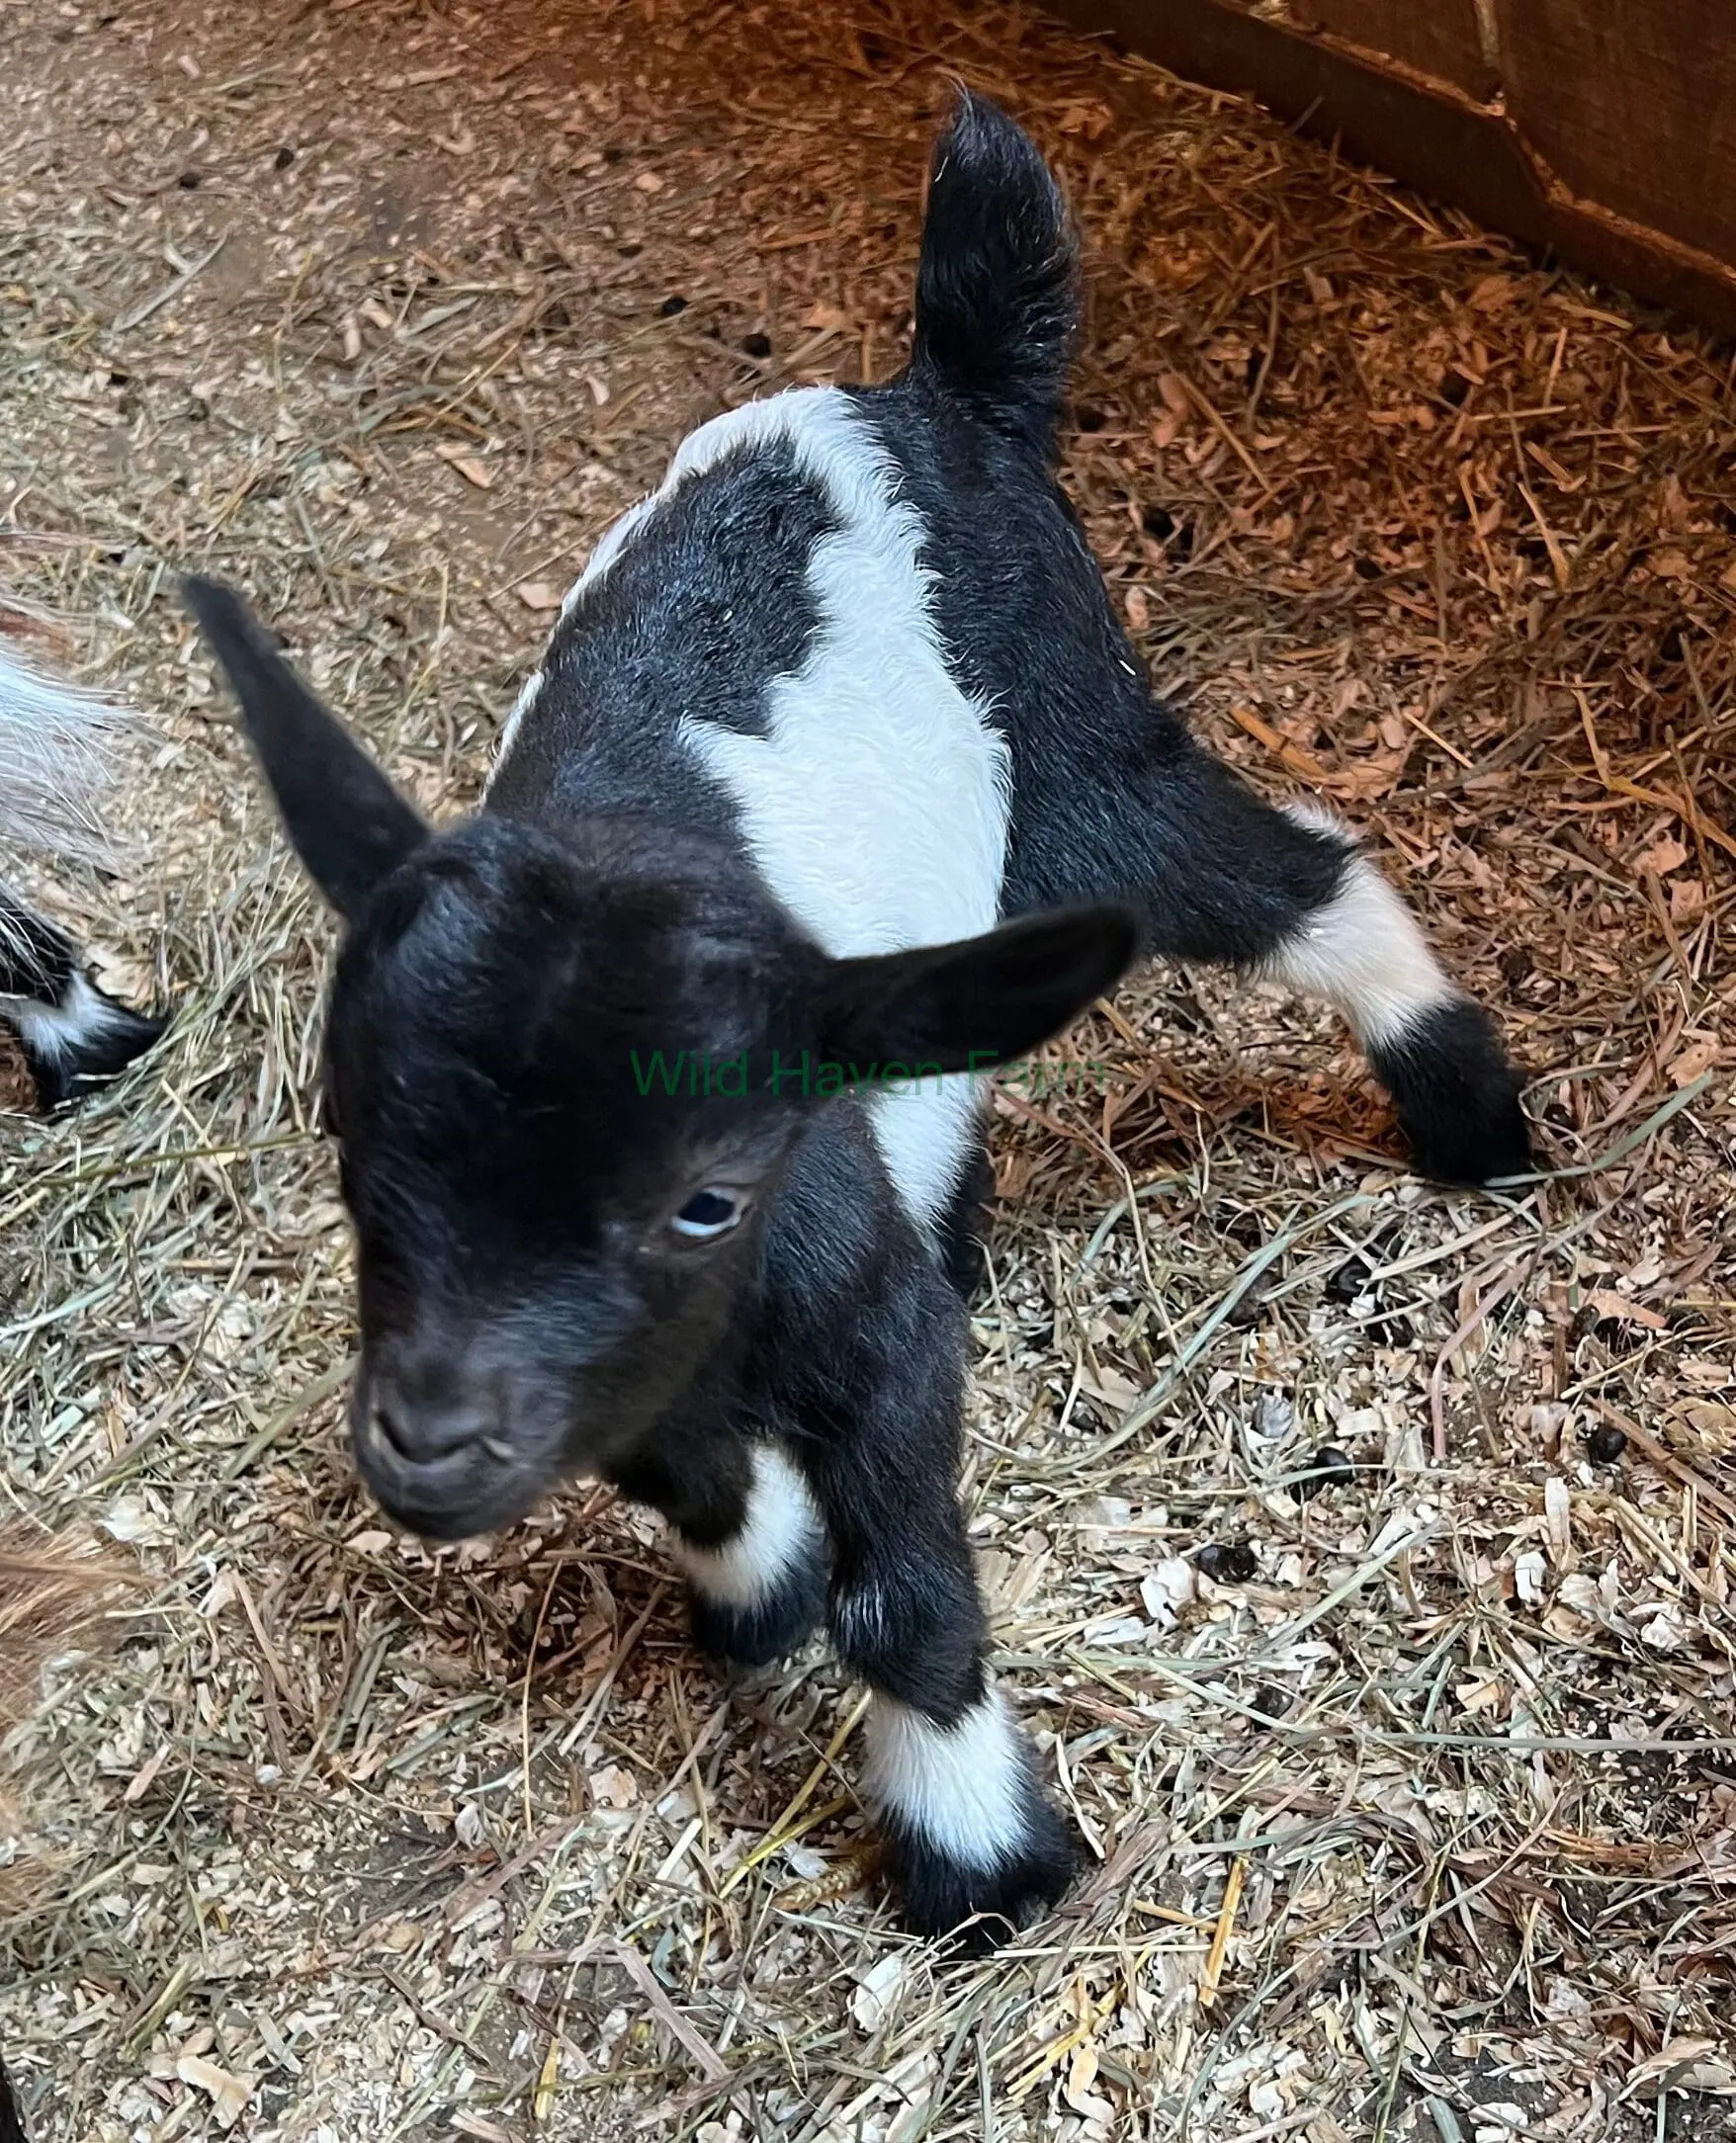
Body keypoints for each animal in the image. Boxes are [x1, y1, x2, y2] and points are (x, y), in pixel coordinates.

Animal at [182, 92, 1525, 1954]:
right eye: (351, 1153)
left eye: (706, 1194)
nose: (430, 1446)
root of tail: (925, 392)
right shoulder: (638, 1371)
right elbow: (697, 1474)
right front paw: (759, 1588)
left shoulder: (861, 1330)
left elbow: (904, 1585)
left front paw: (980, 1859)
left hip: (1075, 758)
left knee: (1282, 876)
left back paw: (1464, 1102)